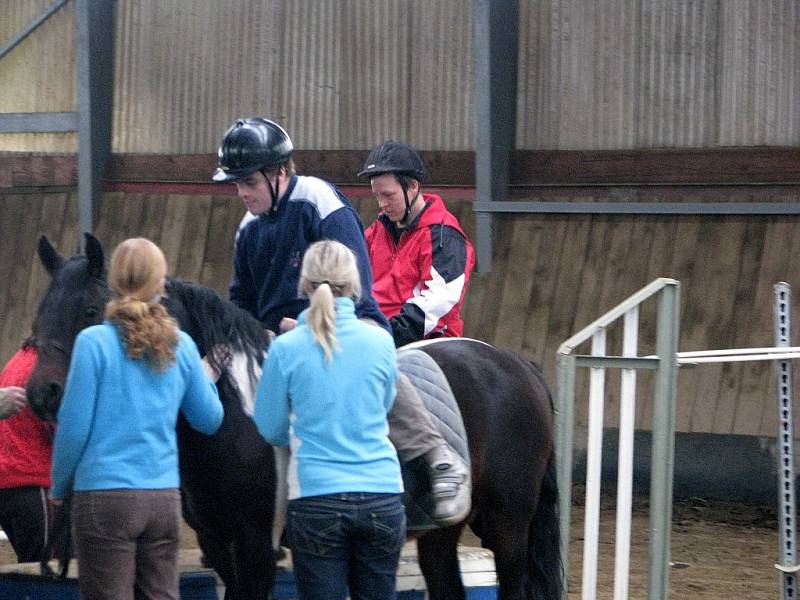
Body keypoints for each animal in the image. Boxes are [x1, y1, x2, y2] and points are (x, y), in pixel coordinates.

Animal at [26, 234, 564, 600]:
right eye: (41, 309)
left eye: (91, 309)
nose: (42, 394)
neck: (231, 415)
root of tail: (516, 364)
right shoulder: (218, 543)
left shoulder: (257, 545)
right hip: (441, 531)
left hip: (509, 524)